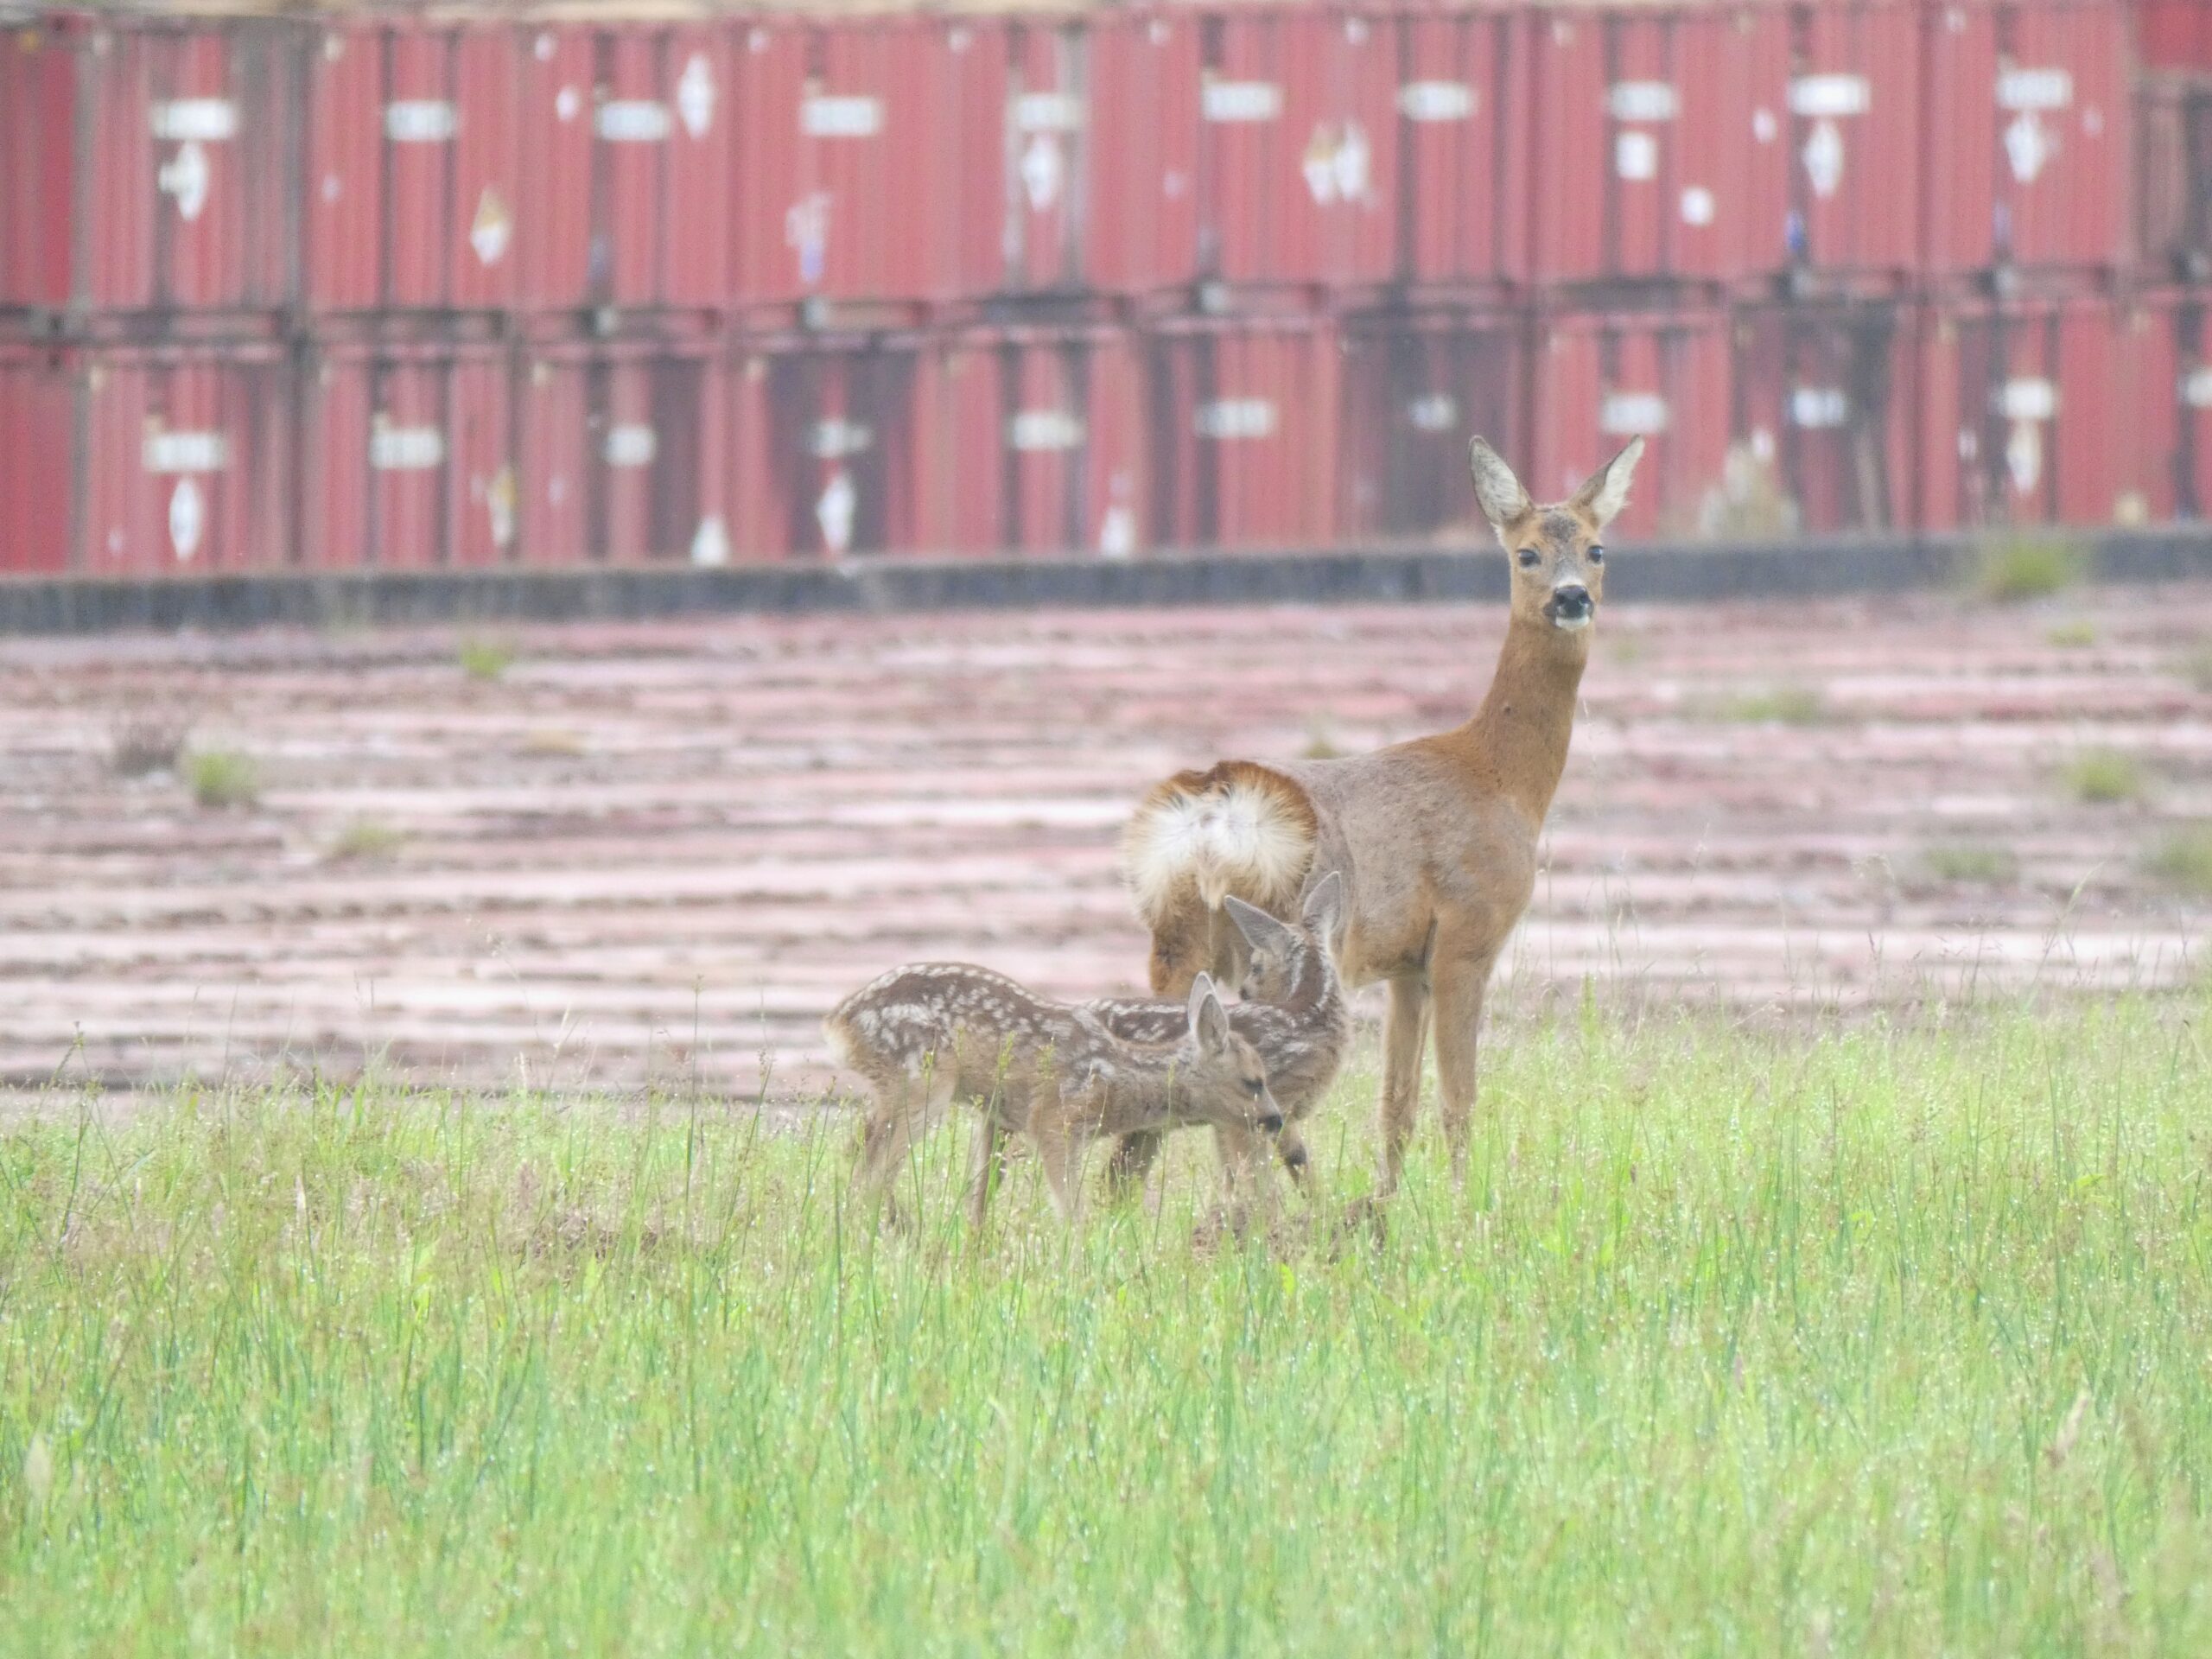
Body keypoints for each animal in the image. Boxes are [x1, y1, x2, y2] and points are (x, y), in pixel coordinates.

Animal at [824, 963, 1281, 1230]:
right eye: (1254, 1080)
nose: (1275, 1119)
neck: (1115, 1079)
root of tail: (839, 1022)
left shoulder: (1002, 1117)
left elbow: (981, 1195)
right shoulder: (1056, 1120)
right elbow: (1071, 1208)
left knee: (859, 1155)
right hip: (922, 1082)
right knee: (871, 1171)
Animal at [1081, 872, 1350, 1209]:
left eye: (1256, 965)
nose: (1245, 991)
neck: (1308, 1018)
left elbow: (1279, 1167)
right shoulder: (1259, 1105)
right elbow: (1262, 1177)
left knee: (1116, 1180)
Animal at [1116, 436, 1642, 1201]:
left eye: (1597, 549)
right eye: (1527, 553)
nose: (1571, 597)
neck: (1502, 778)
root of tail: (1213, 810)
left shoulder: (1406, 963)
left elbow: (1397, 1103)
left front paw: (1392, 1200)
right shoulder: (1467, 935)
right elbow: (1458, 1097)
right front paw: (1462, 1204)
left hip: (1174, 938)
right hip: (1282, 939)